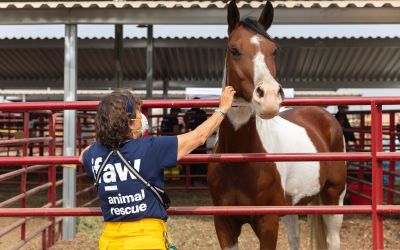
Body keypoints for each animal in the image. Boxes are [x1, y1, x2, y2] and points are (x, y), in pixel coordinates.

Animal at [206, 0, 346, 249]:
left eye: (274, 50)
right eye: (234, 50)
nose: (269, 96)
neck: (239, 159)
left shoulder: (268, 222)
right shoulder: (224, 224)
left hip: (333, 197)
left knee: (332, 239)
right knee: (294, 239)